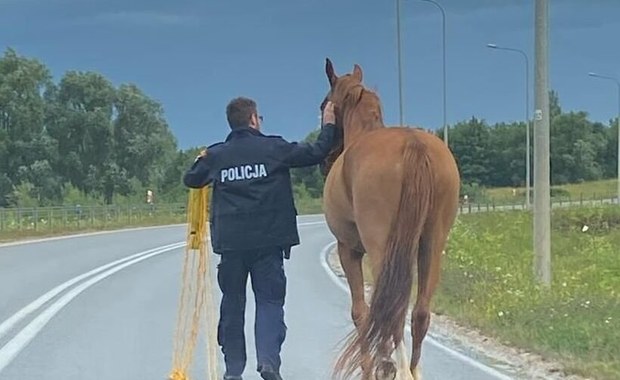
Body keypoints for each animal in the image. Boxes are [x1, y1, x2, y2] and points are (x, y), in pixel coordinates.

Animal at [320, 57, 460, 380]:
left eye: (324, 105)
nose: (325, 160)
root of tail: (414, 145)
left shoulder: (349, 250)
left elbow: (360, 312)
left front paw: (369, 368)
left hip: (381, 248)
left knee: (390, 313)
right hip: (432, 244)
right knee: (419, 313)